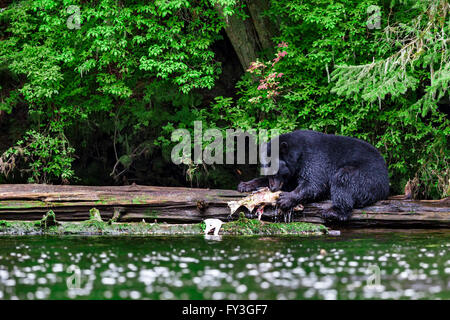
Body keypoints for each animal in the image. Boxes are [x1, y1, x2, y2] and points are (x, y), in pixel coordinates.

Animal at [237, 130, 388, 222]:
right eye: (266, 171)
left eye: (276, 171)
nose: (273, 188)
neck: (298, 154)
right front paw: (245, 185)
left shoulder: (313, 158)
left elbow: (315, 183)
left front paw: (286, 199)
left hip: (366, 176)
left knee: (343, 179)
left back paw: (333, 212)